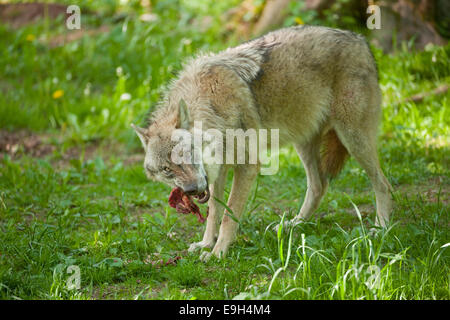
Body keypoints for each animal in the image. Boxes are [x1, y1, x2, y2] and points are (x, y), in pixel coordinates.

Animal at [132, 25, 392, 260]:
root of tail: (361, 40)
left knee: (383, 184)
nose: (192, 190)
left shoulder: (247, 166)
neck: (211, 104)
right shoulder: (218, 171)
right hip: (303, 143)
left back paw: (381, 228)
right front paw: (206, 244)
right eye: (167, 170)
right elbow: (215, 211)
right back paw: (294, 224)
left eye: (188, 154)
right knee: (319, 186)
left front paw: (218, 253)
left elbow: (229, 215)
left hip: (353, 138)